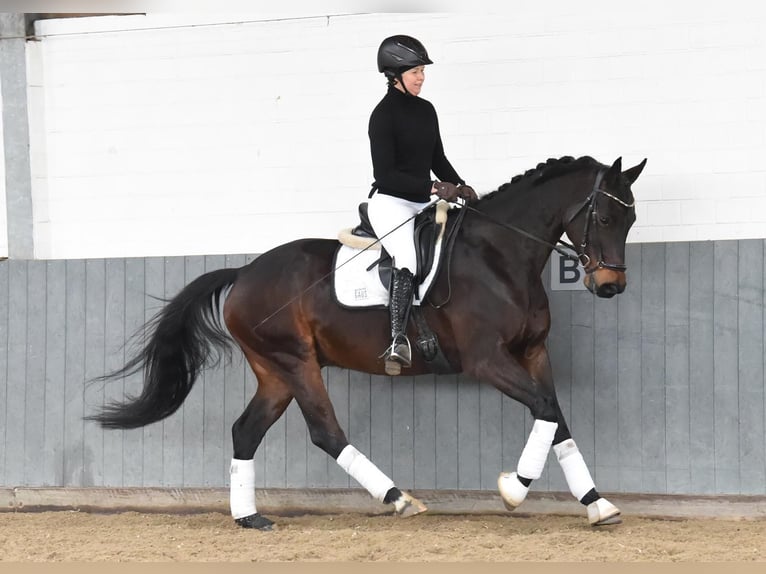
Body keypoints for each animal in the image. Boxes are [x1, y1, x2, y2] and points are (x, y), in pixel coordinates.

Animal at [90, 156, 648, 532]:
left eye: (631, 220)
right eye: (603, 218)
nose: (610, 286)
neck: (499, 255)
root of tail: (244, 273)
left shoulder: (533, 354)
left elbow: (555, 417)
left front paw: (598, 504)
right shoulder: (488, 360)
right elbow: (544, 411)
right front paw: (514, 488)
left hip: (276, 372)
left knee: (246, 431)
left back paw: (250, 518)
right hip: (295, 362)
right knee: (325, 432)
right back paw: (399, 499)